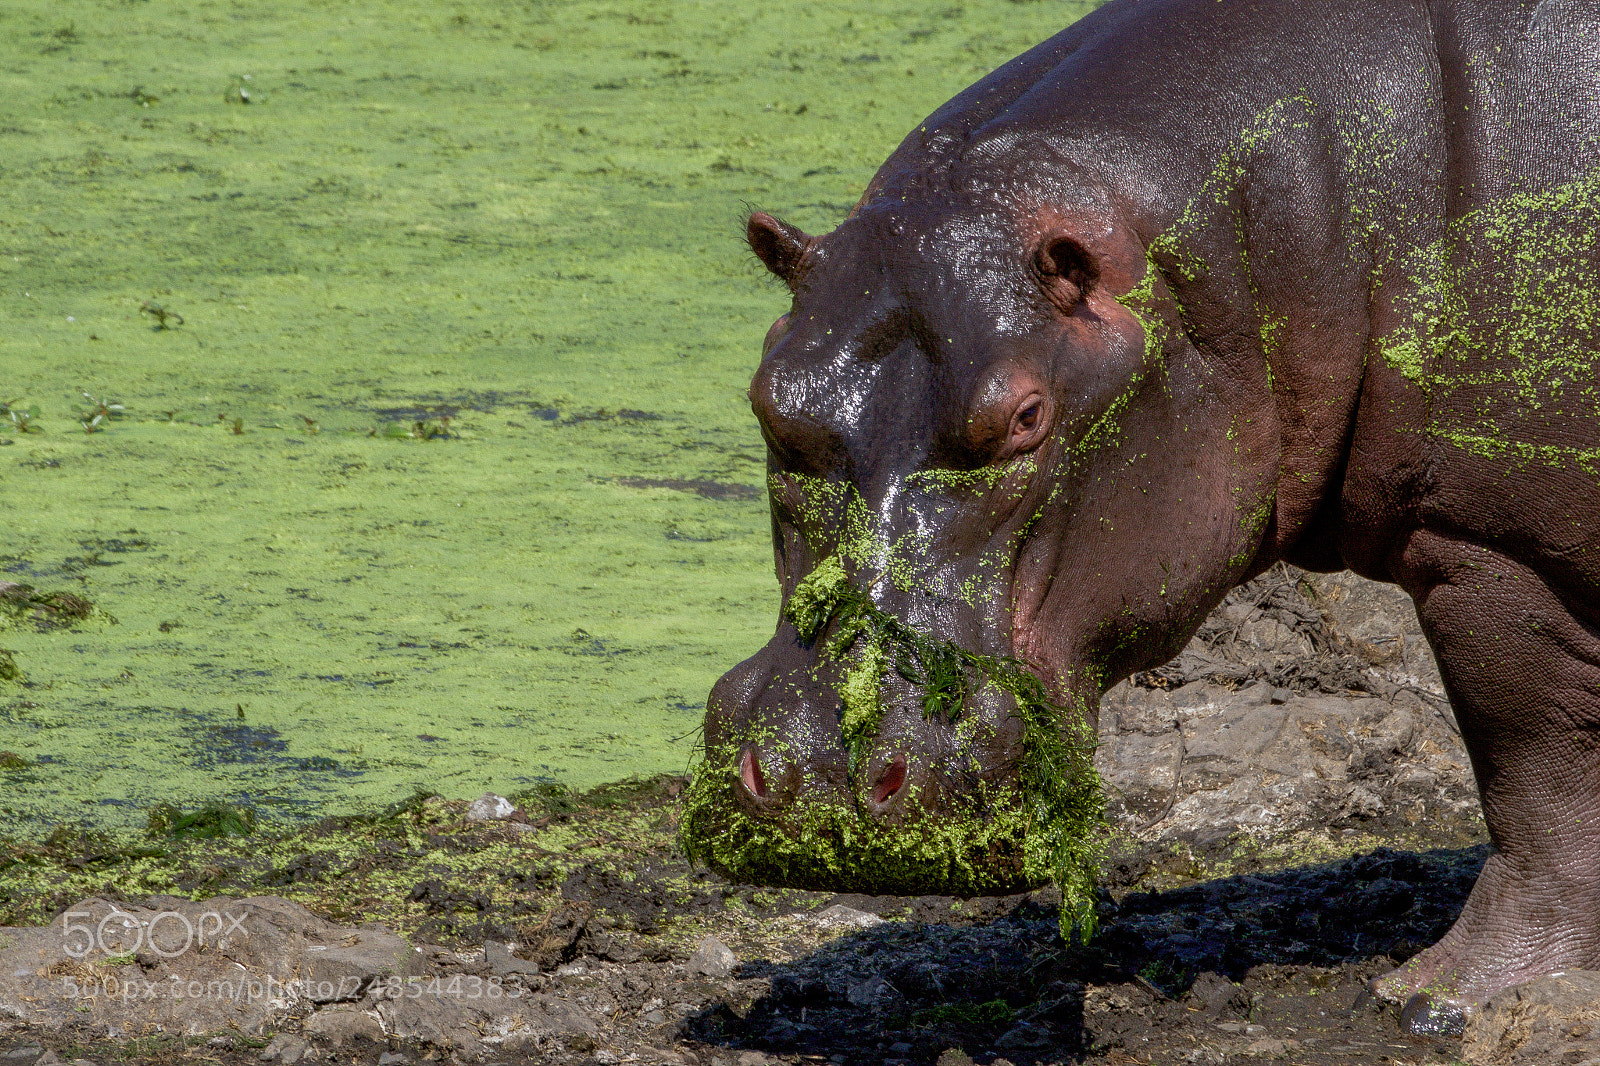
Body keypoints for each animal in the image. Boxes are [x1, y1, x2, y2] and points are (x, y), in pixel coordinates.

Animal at [680, 0, 1600, 1029]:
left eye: (1026, 415)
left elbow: (1535, 771)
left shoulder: (1492, 545)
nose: (822, 771)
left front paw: (1448, 994)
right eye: (768, 399)